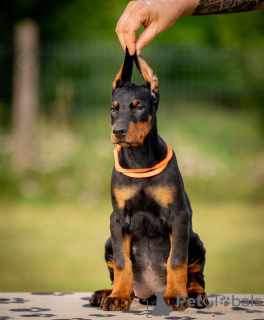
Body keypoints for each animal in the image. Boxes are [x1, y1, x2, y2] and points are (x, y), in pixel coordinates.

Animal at [90, 49, 208, 310]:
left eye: (139, 107)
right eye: (113, 108)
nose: (119, 131)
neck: (139, 158)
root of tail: (150, 293)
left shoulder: (178, 215)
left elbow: (176, 261)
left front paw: (176, 295)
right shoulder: (117, 218)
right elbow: (123, 263)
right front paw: (118, 297)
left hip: (195, 240)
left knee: (196, 274)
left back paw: (194, 294)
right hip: (108, 242)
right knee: (119, 274)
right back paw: (107, 292)